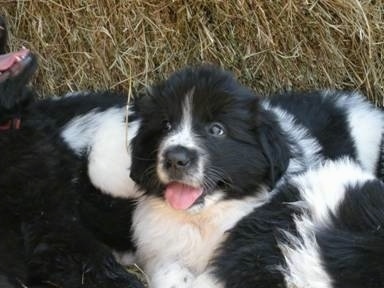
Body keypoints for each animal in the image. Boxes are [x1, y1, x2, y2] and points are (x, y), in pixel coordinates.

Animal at [130, 66, 384, 288]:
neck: (204, 219)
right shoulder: (160, 248)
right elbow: (170, 271)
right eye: (166, 126)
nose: (175, 158)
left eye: (216, 129)